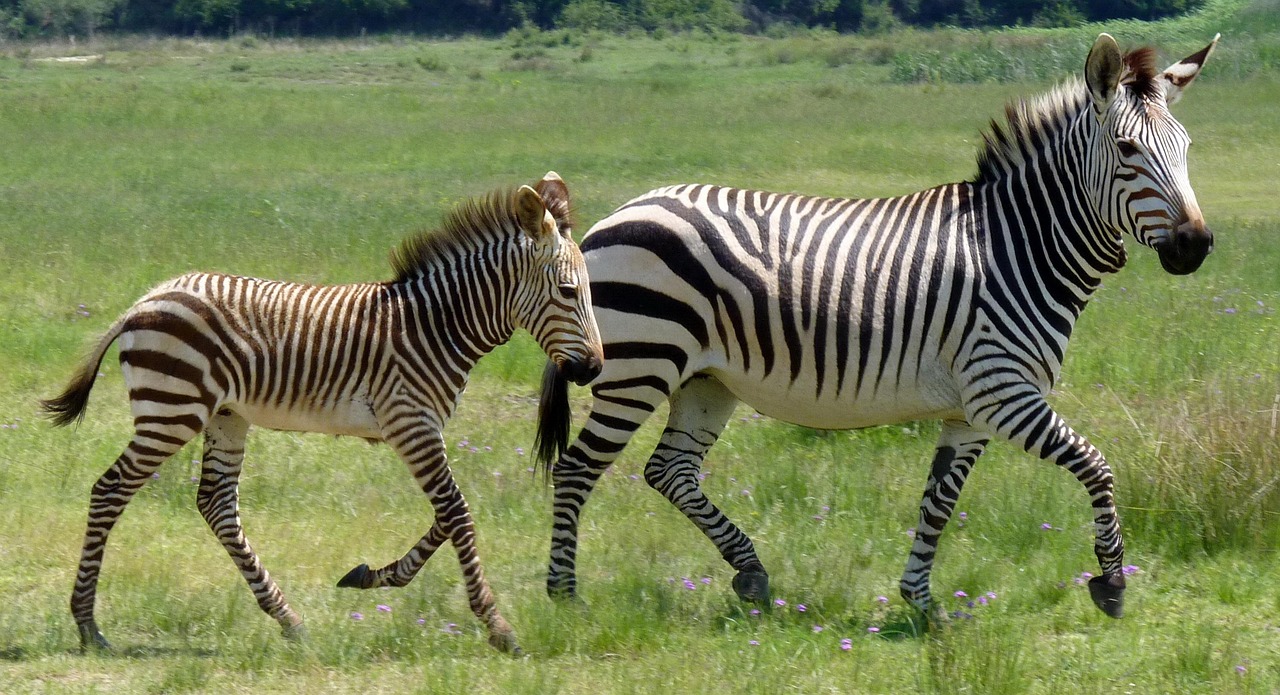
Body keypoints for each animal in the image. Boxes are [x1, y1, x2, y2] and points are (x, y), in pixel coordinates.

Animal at [42, 172, 603, 654]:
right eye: (568, 291)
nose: (595, 368)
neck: (436, 325)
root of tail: (143, 301)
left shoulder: (418, 426)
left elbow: (445, 516)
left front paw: (371, 576)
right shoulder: (411, 422)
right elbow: (457, 513)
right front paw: (498, 627)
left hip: (225, 415)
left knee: (216, 504)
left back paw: (287, 618)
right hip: (172, 411)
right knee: (110, 490)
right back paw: (88, 624)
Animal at [534, 34, 1220, 621]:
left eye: (1187, 148)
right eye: (1128, 151)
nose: (1196, 246)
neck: (1017, 246)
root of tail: (608, 219)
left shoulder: (970, 410)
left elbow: (938, 501)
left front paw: (919, 599)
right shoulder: (1002, 392)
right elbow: (1097, 466)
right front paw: (1112, 582)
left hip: (705, 380)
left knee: (669, 472)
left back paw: (750, 571)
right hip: (639, 367)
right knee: (577, 470)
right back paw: (564, 594)